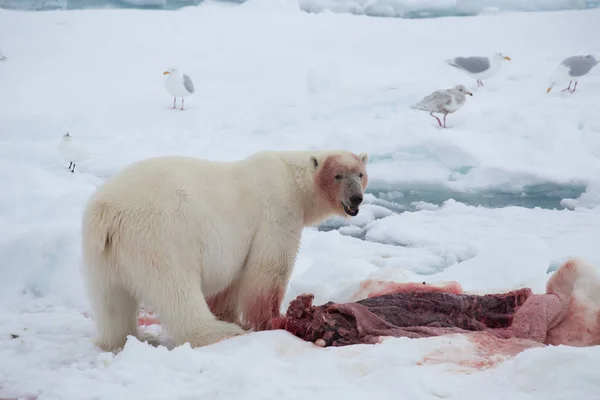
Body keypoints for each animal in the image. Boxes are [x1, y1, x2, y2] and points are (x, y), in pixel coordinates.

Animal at [81, 148, 368, 352]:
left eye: (360, 174)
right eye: (338, 175)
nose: (356, 198)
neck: (293, 178)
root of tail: (107, 212)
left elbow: (230, 282)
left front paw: (232, 315)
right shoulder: (278, 212)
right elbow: (268, 271)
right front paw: (272, 321)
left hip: (103, 253)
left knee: (111, 302)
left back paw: (123, 340)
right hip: (161, 238)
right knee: (176, 290)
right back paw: (220, 333)